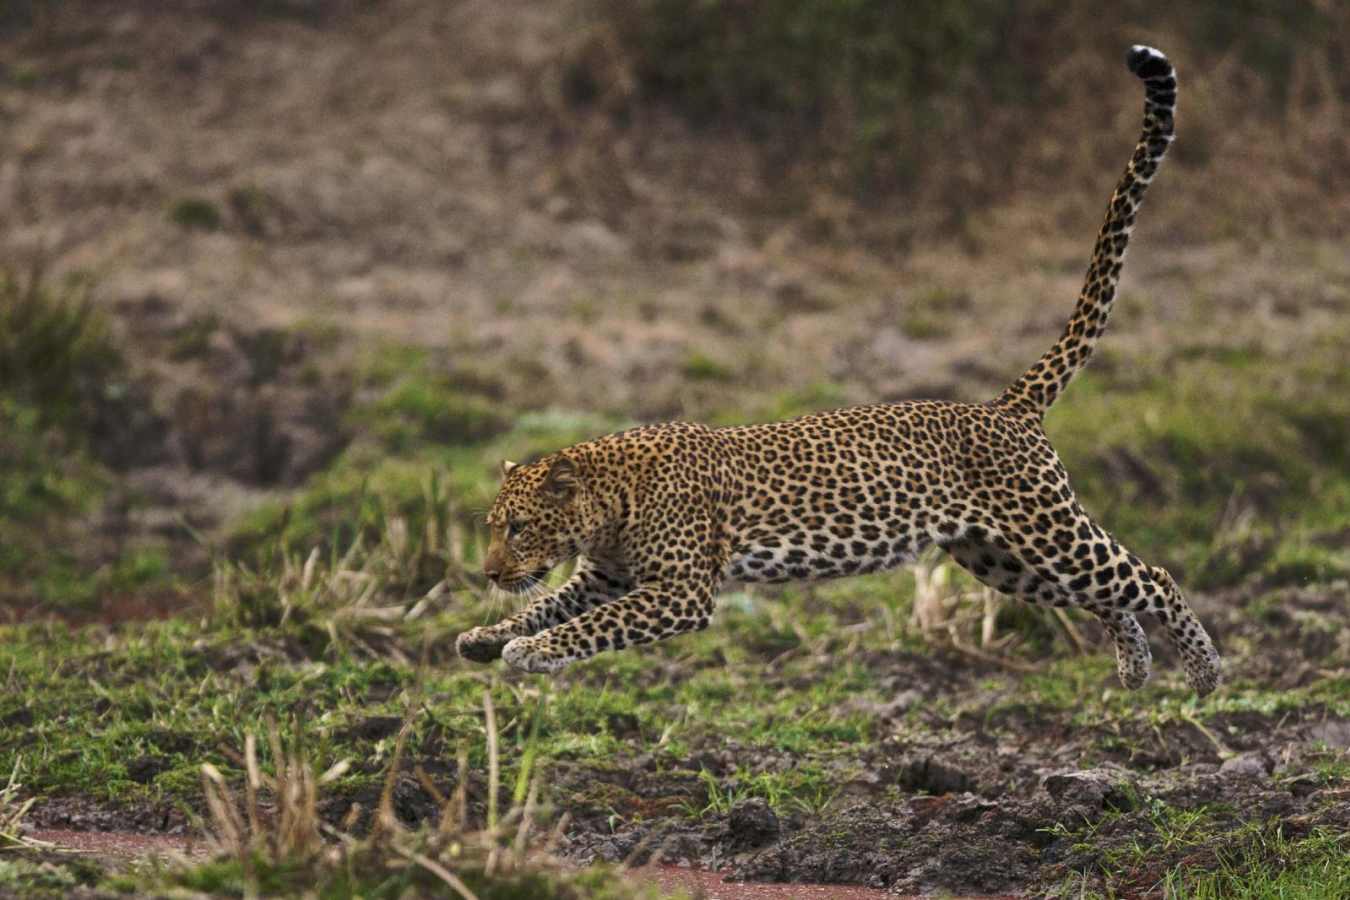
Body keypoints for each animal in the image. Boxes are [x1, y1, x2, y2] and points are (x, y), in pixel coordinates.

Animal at [456, 45, 1221, 696]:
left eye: (517, 528)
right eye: (493, 526)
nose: (488, 571)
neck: (609, 498)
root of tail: (1004, 407)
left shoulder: (679, 593)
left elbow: (589, 626)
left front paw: (531, 651)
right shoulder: (608, 577)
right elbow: (551, 603)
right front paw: (485, 635)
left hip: (1049, 534)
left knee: (1151, 576)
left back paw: (1206, 671)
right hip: (1002, 558)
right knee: (1107, 597)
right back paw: (1134, 665)